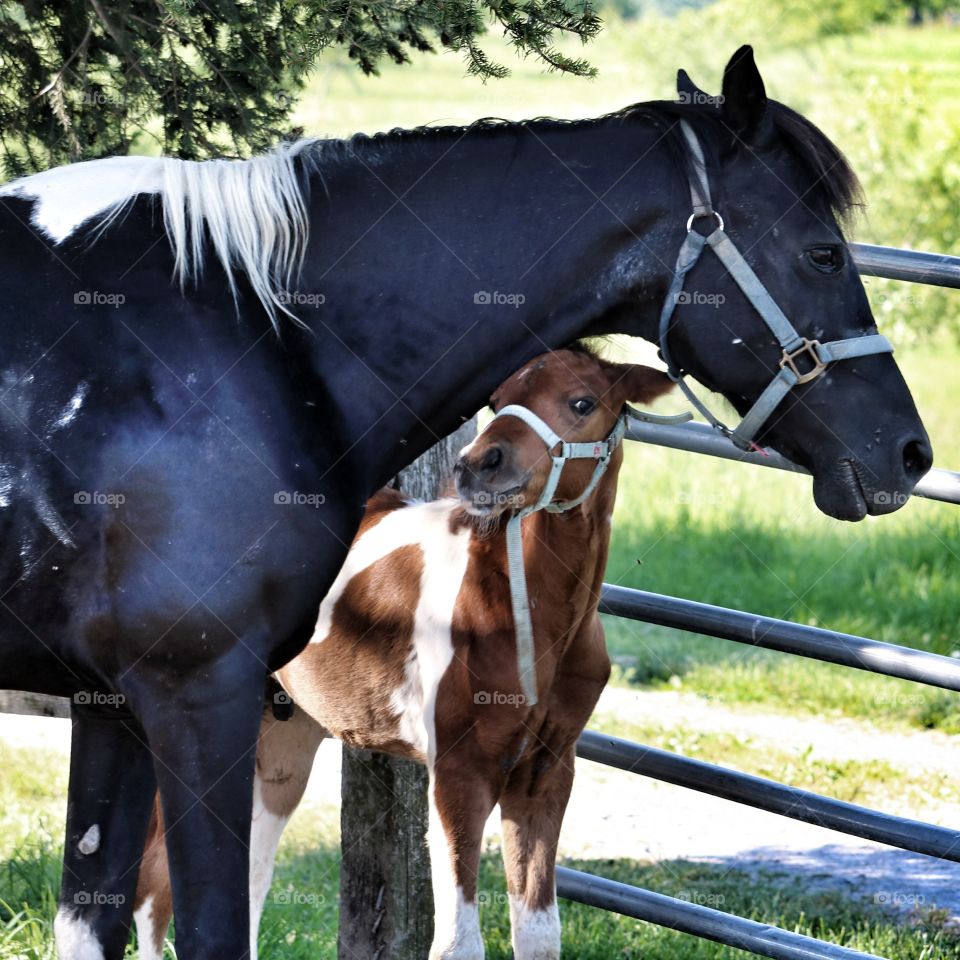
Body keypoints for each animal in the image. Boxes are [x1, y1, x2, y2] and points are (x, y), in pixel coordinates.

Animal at [135, 350, 672, 960]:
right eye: (497, 399)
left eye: (582, 402)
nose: (478, 465)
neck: (530, 613)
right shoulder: (459, 772)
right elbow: (459, 943)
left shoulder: (545, 770)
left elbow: (539, 935)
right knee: (153, 890)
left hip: (280, 741)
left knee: (245, 885)